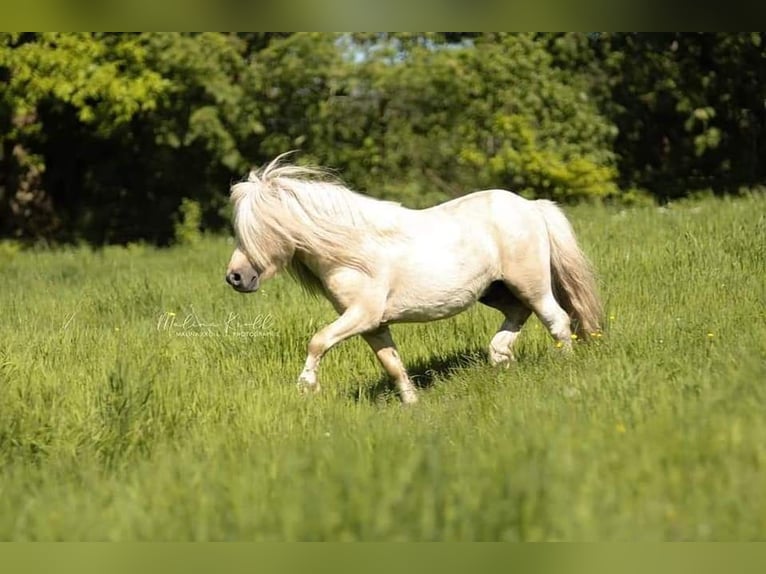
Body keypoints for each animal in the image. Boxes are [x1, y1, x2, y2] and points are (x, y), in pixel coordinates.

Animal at [225, 153, 604, 404]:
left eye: (259, 229)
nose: (235, 277)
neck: (351, 249)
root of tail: (531, 206)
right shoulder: (373, 325)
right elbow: (392, 364)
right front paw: (411, 405)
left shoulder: (361, 315)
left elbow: (317, 341)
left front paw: (307, 386)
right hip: (496, 290)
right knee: (519, 314)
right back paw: (500, 359)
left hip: (531, 284)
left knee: (557, 320)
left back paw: (566, 369)